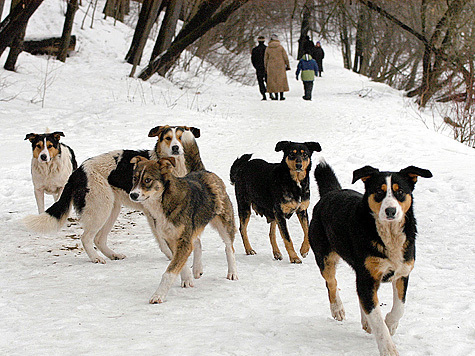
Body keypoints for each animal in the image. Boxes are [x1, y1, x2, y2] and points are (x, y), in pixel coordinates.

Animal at [24, 125, 201, 276]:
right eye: (168, 138)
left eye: (181, 137)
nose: (176, 148)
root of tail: (79, 171)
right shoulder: (153, 215)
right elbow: (163, 239)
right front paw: (172, 256)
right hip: (101, 208)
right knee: (87, 238)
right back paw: (96, 258)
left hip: (112, 208)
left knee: (99, 238)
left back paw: (112, 255)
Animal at [128, 156, 238, 304]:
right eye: (134, 178)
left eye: (147, 180)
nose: (133, 195)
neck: (163, 202)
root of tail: (205, 172)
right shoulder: (171, 239)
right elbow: (181, 262)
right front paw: (187, 278)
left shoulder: (183, 240)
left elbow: (169, 272)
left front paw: (158, 295)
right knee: (197, 242)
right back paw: (197, 268)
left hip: (224, 223)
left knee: (229, 247)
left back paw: (232, 272)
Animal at [306, 160, 434, 354]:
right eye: (380, 192)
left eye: (400, 192)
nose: (390, 210)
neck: (388, 237)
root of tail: (331, 192)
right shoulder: (368, 276)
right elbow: (377, 320)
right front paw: (388, 349)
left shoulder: (402, 272)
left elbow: (400, 307)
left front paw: (391, 324)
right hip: (325, 256)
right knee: (331, 283)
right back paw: (337, 309)